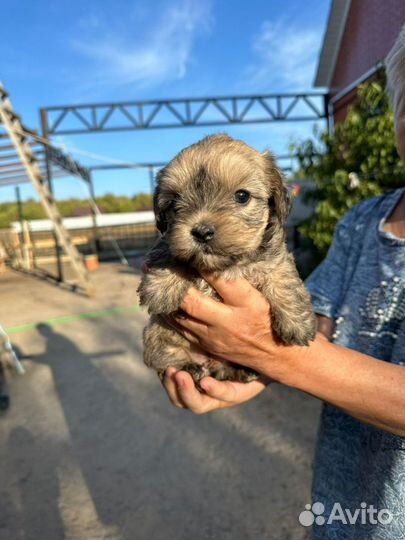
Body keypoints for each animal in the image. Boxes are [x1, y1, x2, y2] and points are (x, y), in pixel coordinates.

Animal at [138, 132, 316, 382]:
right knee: (161, 357)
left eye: (242, 196)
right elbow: (167, 250)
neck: (227, 264)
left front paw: (298, 322)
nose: (202, 232)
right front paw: (161, 289)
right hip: (157, 333)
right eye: (174, 202)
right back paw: (188, 367)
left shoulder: (275, 257)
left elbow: (285, 278)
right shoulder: (167, 238)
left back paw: (241, 369)